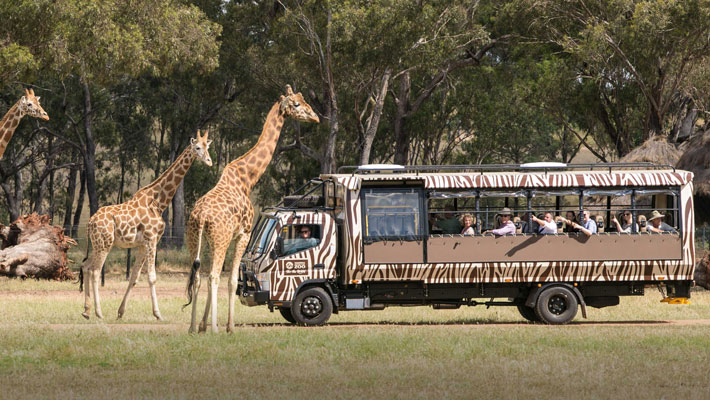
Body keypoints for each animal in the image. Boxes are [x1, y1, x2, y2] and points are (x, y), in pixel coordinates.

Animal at [81, 130, 214, 320]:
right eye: (197, 147)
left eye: (207, 147)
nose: (209, 161)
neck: (158, 202)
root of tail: (90, 223)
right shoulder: (151, 240)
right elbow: (152, 277)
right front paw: (158, 314)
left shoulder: (143, 244)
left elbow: (134, 276)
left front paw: (121, 312)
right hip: (104, 244)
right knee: (95, 271)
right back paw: (98, 312)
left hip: (98, 244)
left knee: (85, 267)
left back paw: (86, 310)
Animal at [185, 86, 318, 332]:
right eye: (296, 104)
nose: (315, 117)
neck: (247, 178)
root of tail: (201, 216)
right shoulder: (243, 234)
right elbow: (231, 280)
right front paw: (229, 326)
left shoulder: (220, 239)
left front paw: (202, 325)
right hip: (219, 238)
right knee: (214, 277)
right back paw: (216, 328)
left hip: (195, 239)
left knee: (198, 277)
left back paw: (191, 328)